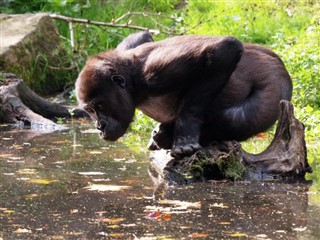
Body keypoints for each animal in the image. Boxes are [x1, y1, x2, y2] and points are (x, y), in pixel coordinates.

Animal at [76, 31, 292, 158]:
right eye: (90, 110)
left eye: (101, 106)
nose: (100, 126)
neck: (133, 84)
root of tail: (278, 59)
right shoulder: (127, 51)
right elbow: (141, 35)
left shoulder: (156, 74)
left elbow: (225, 49)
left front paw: (185, 136)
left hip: (276, 85)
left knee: (238, 119)